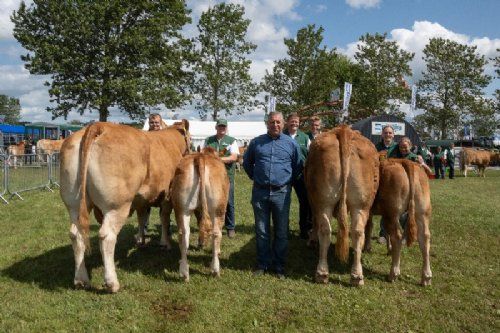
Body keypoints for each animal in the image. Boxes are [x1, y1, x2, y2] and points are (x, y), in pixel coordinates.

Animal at [170, 146, 229, 280]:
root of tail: (200, 157)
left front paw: (200, 243)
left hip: (182, 208)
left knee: (183, 233)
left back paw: (184, 272)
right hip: (218, 208)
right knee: (216, 233)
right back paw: (215, 270)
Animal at [304, 126, 378, 284]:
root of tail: (344, 130)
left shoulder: (312, 200)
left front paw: (312, 240)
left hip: (324, 201)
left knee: (326, 229)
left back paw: (323, 273)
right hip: (361, 204)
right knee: (357, 232)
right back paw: (355, 276)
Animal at [364, 158, 434, 286]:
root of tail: (404, 161)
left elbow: (369, 227)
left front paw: (367, 247)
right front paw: (389, 249)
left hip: (392, 212)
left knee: (397, 236)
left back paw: (393, 274)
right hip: (422, 211)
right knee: (424, 237)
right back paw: (426, 277)